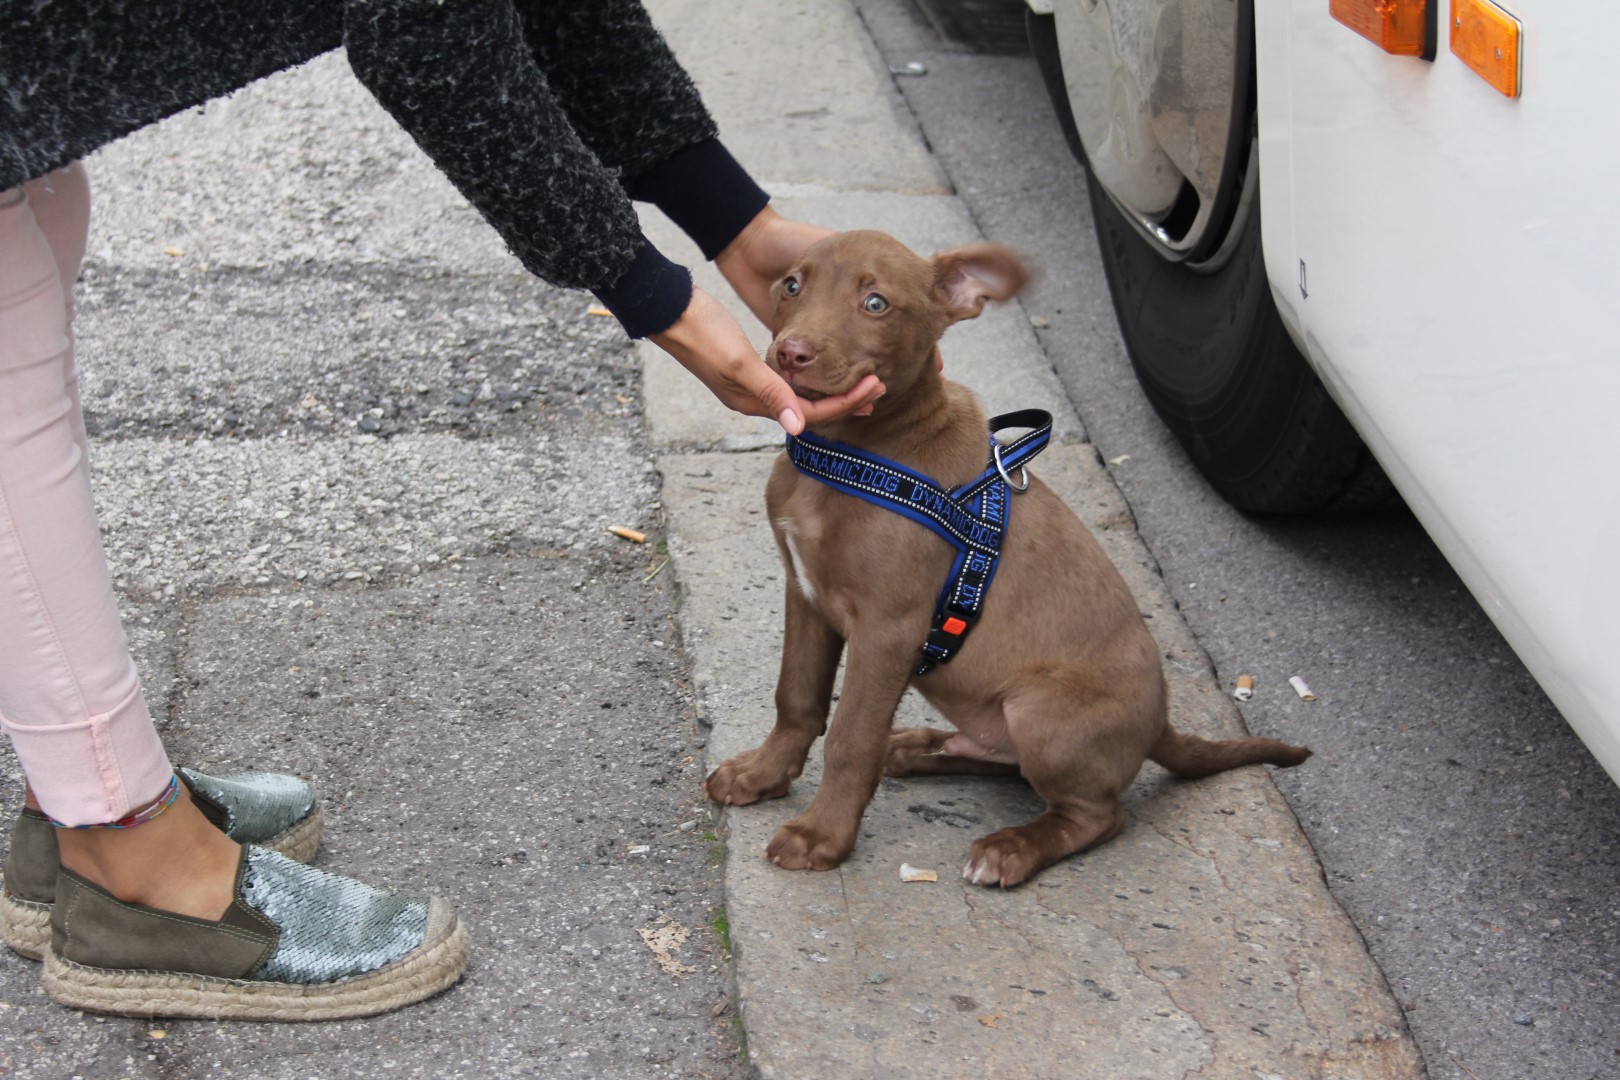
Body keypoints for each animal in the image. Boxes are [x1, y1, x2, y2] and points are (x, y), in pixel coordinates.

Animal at [703, 229, 1308, 887]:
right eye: (792, 286)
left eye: (875, 304)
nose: (791, 354)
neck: (849, 454)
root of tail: (1161, 724)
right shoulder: (805, 593)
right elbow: (797, 698)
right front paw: (762, 774)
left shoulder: (888, 628)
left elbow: (850, 736)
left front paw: (822, 833)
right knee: (1004, 762)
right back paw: (919, 748)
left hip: (1039, 710)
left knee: (1098, 814)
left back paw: (1011, 847)